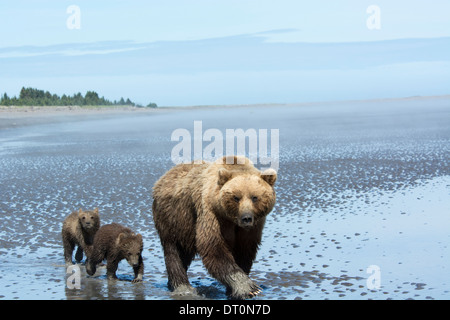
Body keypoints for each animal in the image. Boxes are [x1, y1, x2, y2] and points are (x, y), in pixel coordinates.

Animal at [153, 156, 276, 298]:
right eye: (236, 197)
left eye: (255, 197)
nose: (246, 218)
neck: (231, 219)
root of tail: (163, 176)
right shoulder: (211, 214)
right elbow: (213, 247)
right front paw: (248, 288)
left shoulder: (252, 228)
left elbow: (245, 251)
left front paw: (232, 290)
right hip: (172, 218)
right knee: (174, 251)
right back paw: (183, 287)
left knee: (183, 253)